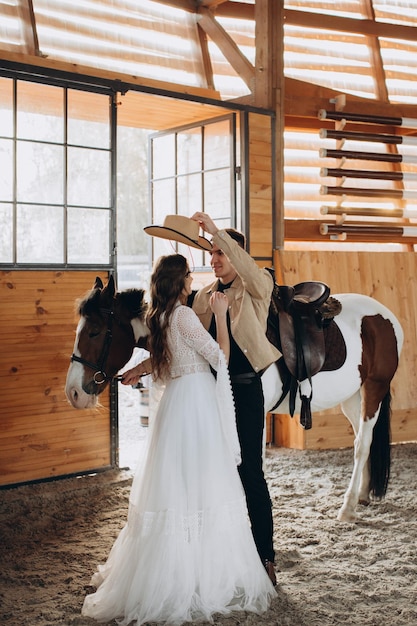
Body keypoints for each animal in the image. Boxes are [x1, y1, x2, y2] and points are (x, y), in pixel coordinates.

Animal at [66, 276, 404, 520]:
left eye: (95, 332)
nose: (73, 393)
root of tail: (386, 316)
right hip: (352, 397)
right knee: (363, 438)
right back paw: (363, 494)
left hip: (374, 388)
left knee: (361, 445)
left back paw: (348, 507)